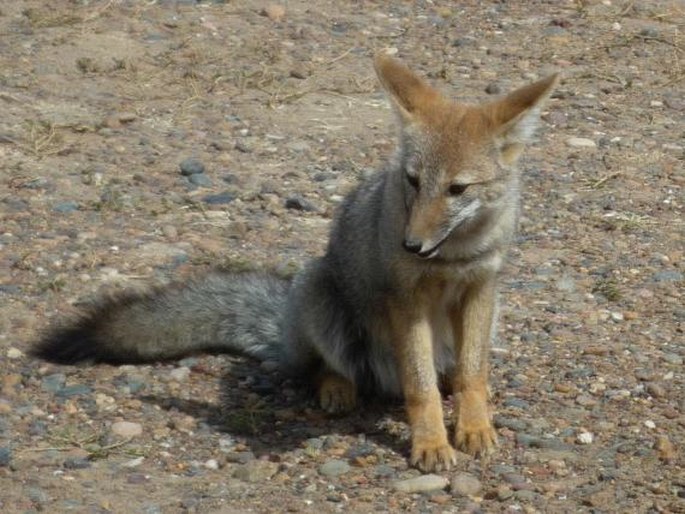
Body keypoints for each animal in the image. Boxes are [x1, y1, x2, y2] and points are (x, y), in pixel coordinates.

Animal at [29, 54, 560, 470]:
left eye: (457, 189)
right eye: (412, 181)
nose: (410, 245)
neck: (453, 256)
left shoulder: (482, 288)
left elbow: (473, 374)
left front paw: (474, 428)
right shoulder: (405, 299)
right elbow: (419, 386)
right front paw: (430, 443)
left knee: (444, 370)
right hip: (320, 295)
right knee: (326, 368)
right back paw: (337, 389)